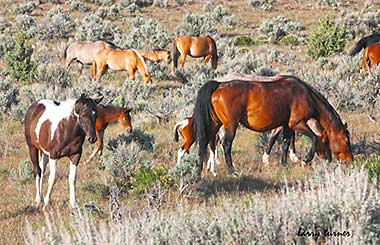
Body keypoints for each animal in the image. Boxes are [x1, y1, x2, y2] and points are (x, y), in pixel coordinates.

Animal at [193, 75, 354, 175]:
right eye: (346, 141)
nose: (350, 161)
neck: (305, 95)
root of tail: (218, 85)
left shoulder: (287, 126)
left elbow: (286, 143)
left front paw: (284, 164)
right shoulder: (297, 124)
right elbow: (313, 138)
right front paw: (305, 160)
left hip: (215, 124)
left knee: (205, 142)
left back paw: (199, 170)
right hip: (230, 124)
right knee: (226, 145)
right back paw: (232, 171)